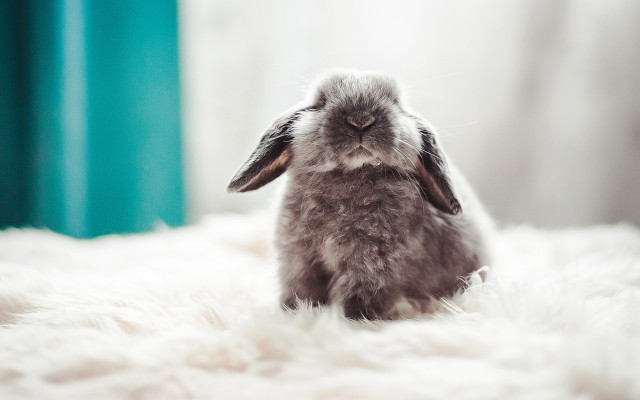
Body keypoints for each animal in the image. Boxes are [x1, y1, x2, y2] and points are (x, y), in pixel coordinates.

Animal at [228, 70, 493, 320]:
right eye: (321, 101)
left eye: (396, 102)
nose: (361, 121)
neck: (351, 175)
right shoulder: (299, 257)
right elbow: (301, 287)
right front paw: (296, 311)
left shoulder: (371, 265)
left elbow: (359, 292)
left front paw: (353, 318)